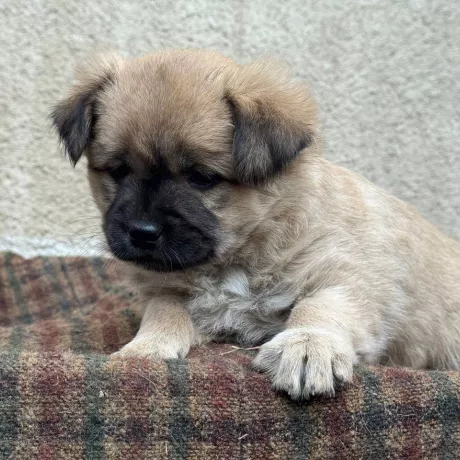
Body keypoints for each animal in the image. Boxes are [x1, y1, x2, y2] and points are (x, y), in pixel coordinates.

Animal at [51, 49, 460, 399]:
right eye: (119, 171)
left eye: (201, 178)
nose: (142, 232)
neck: (241, 254)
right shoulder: (168, 291)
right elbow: (164, 313)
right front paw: (145, 348)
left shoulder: (347, 279)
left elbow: (319, 309)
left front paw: (307, 346)